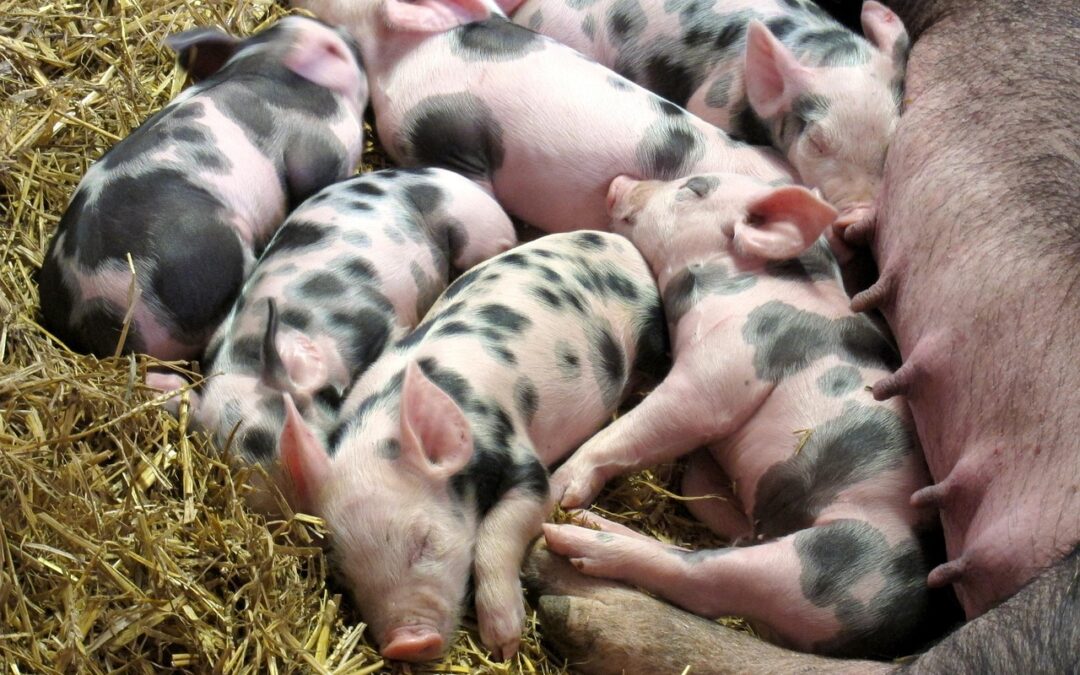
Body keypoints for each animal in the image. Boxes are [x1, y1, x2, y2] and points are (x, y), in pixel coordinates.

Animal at [276, 231, 668, 662]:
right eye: (345, 573)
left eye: (425, 541)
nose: (407, 643)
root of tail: (618, 240)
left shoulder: (523, 462)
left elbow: (497, 532)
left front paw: (503, 644)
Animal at [542, 173, 939, 657]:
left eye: (694, 188)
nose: (619, 181)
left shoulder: (726, 364)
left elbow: (655, 422)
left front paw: (559, 487)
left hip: (832, 566)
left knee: (703, 577)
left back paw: (572, 531)